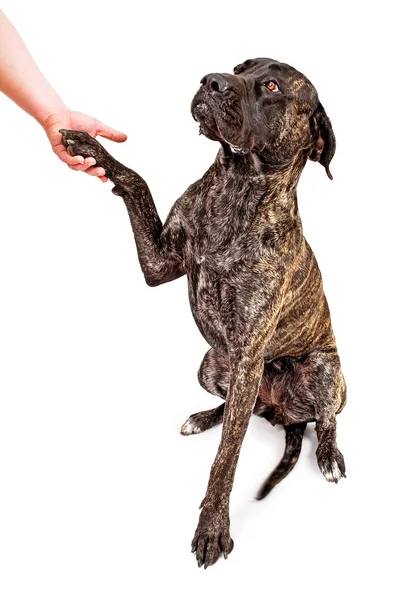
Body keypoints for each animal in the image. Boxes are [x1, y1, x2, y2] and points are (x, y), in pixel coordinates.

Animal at [60, 56, 348, 568]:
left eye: (272, 85)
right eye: (240, 66)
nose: (212, 81)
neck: (238, 185)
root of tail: (283, 415)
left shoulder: (250, 356)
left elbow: (226, 459)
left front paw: (213, 528)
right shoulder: (160, 264)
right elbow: (136, 180)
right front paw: (92, 148)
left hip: (324, 367)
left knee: (325, 418)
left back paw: (330, 456)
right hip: (212, 363)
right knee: (237, 407)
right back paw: (203, 417)